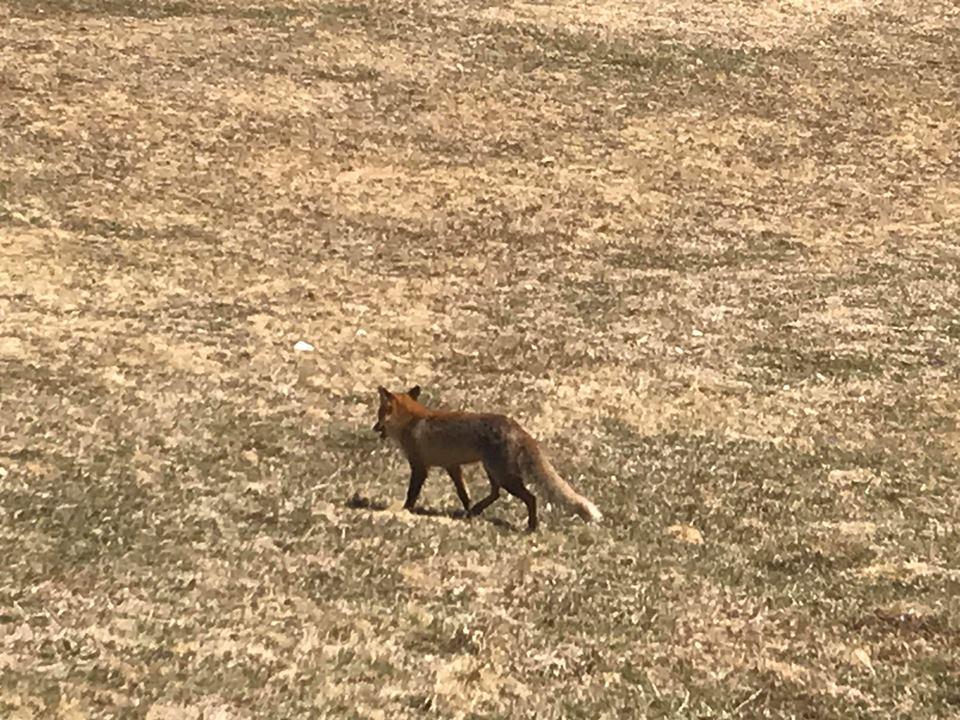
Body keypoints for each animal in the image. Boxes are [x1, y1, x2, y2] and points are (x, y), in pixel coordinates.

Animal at [374, 386, 600, 532]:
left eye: (378, 414)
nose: (374, 428)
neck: (411, 421)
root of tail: (518, 428)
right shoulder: (452, 466)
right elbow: (463, 493)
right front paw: (467, 511)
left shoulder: (420, 467)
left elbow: (412, 494)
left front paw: (405, 511)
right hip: (493, 471)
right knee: (495, 494)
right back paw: (476, 511)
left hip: (505, 476)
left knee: (530, 498)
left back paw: (532, 526)